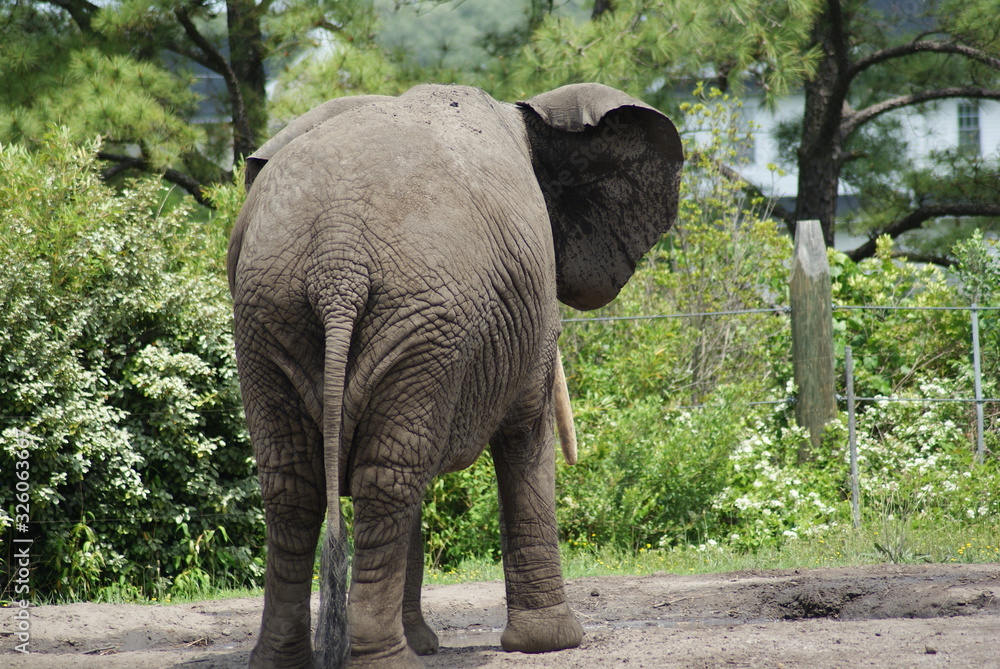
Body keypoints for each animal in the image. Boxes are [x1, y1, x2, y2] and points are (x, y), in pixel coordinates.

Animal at [227, 82, 683, 668]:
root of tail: (338, 263)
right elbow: (526, 435)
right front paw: (553, 642)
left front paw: (430, 643)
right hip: (420, 319)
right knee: (388, 479)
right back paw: (389, 661)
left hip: (273, 317)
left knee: (297, 485)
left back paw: (290, 659)